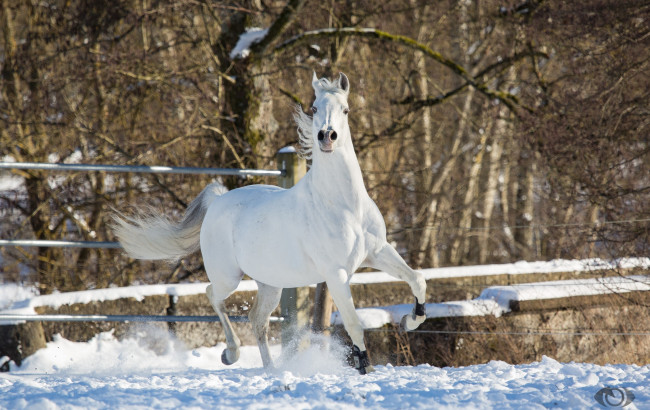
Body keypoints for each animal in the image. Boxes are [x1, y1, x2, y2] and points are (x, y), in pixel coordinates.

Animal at [112, 73, 426, 374]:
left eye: (346, 109)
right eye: (314, 108)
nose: (327, 137)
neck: (345, 205)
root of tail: (218, 201)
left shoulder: (378, 251)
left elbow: (417, 279)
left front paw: (410, 319)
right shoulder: (336, 273)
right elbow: (353, 323)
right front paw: (364, 365)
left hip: (270, 283)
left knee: (257, 319)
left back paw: (271, 369)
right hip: (229, 277)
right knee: (213, 295)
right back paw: (231, 354)